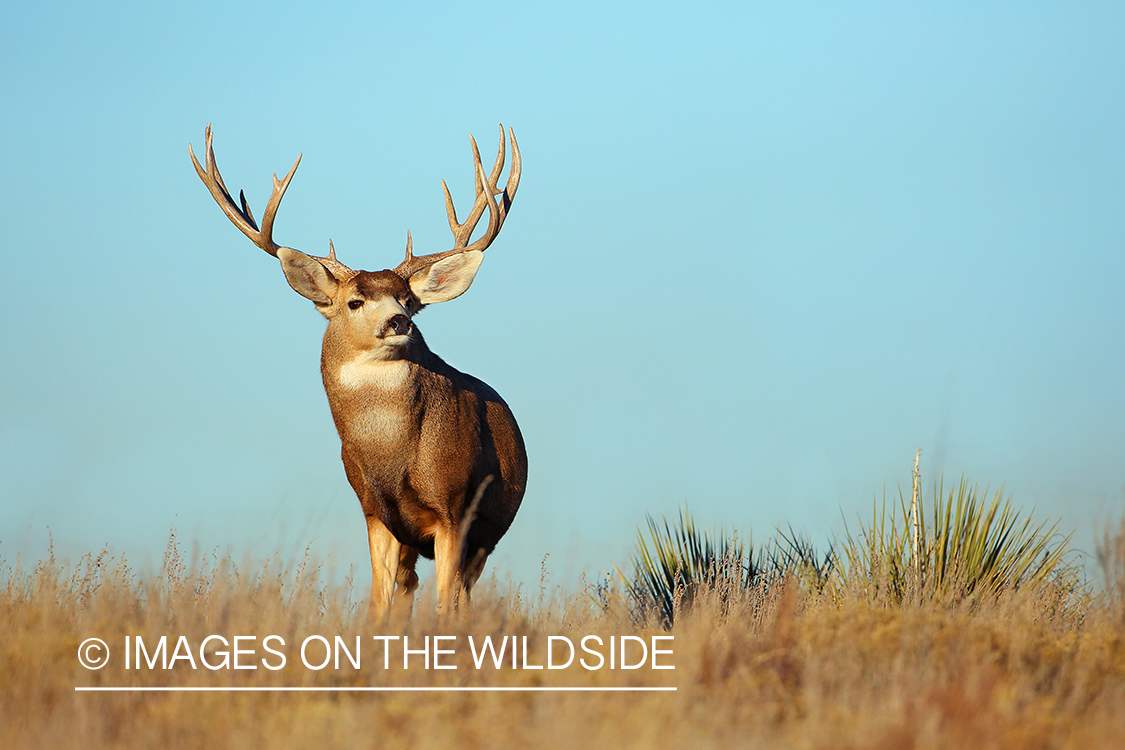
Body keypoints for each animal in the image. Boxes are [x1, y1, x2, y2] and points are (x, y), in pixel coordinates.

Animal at [189, 124, 527, 620]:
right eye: (354, 301)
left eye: (409, 300)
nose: (399, 322)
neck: (390, 456)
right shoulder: (374, 511)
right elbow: (377, 603)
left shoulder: (454, 508)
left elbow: (445, 602)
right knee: (409, 586)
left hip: (485, 535)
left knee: (461, 594)